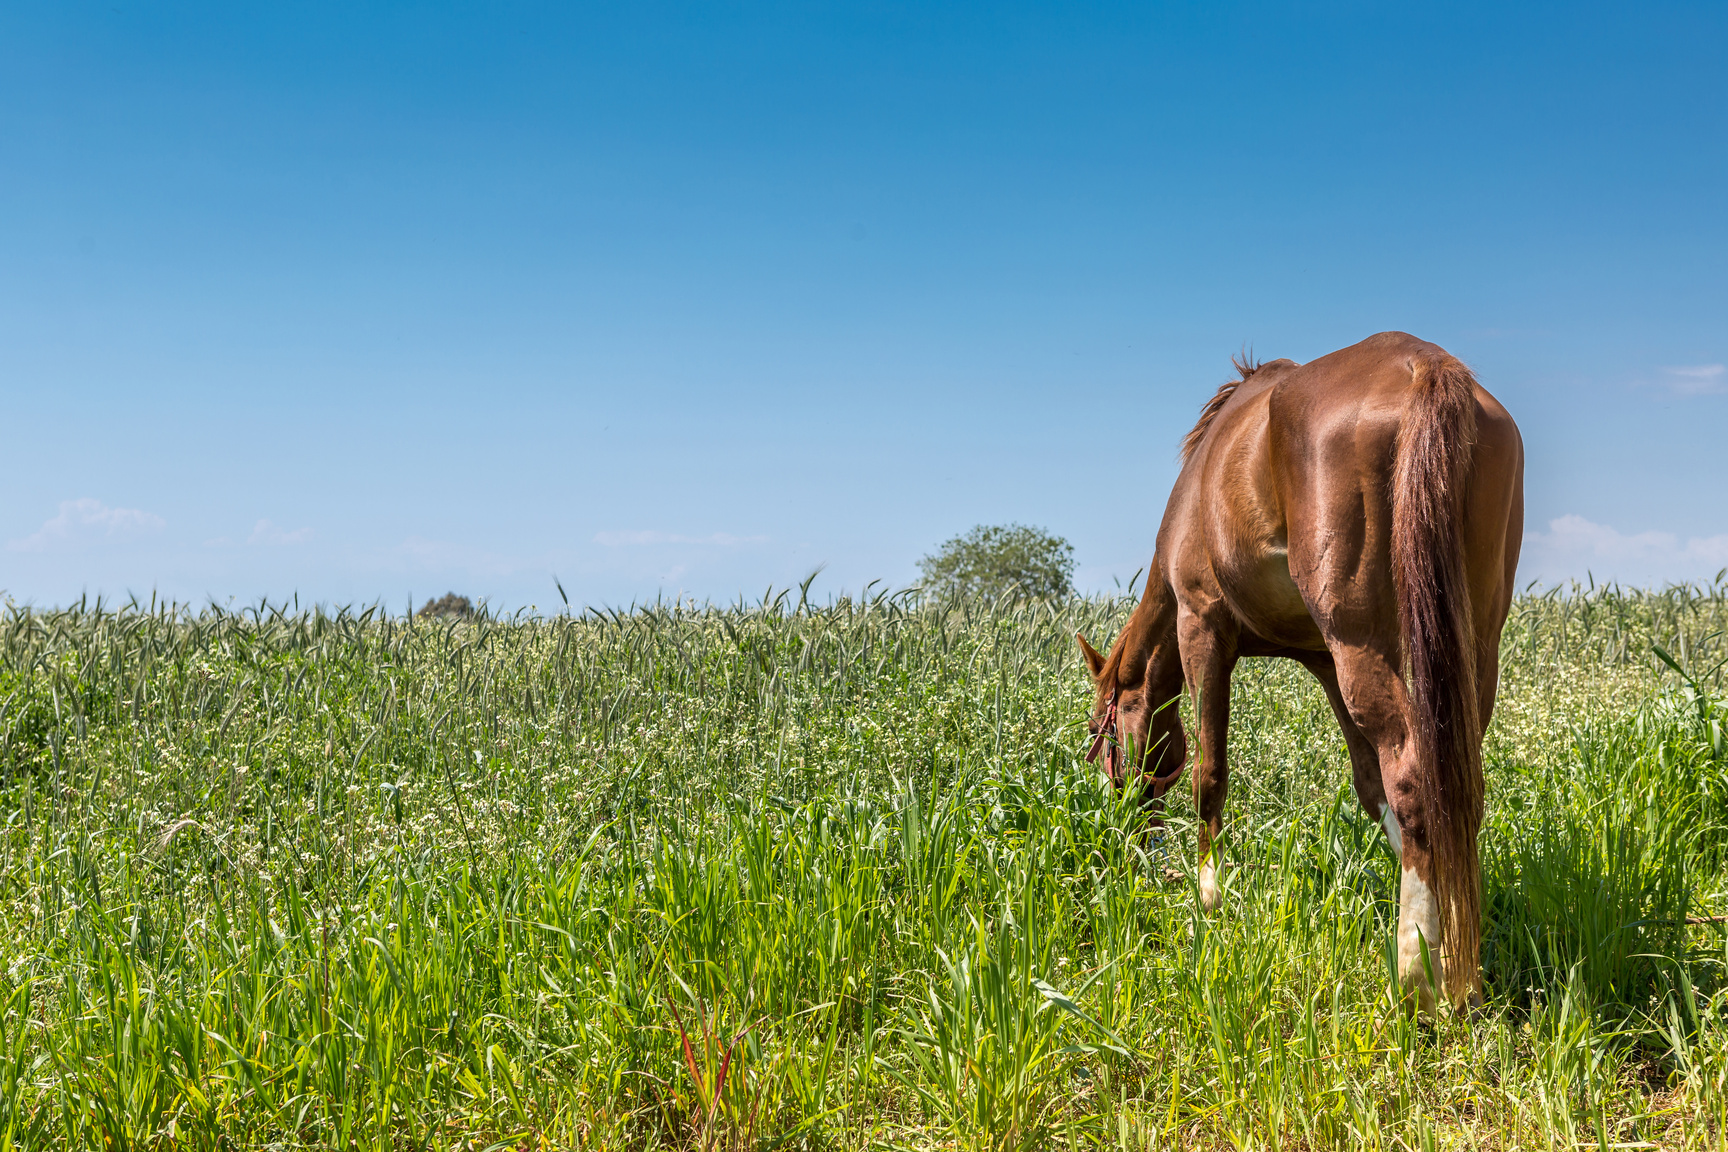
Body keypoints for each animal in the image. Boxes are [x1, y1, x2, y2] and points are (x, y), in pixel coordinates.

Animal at [1078, 331, 1523, 1011]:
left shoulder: (1203, 629)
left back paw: (1417, 980)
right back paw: (1459, 971)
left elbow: (1209, 774)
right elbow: (1372, 789)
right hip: (1464, 650)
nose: (1125, 829)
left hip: (1361, 644)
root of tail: (1425, 364)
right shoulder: (1321, 659)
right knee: (1452, 789)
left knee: (1416, 779)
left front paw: (1209, 899)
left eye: (1102, 736)